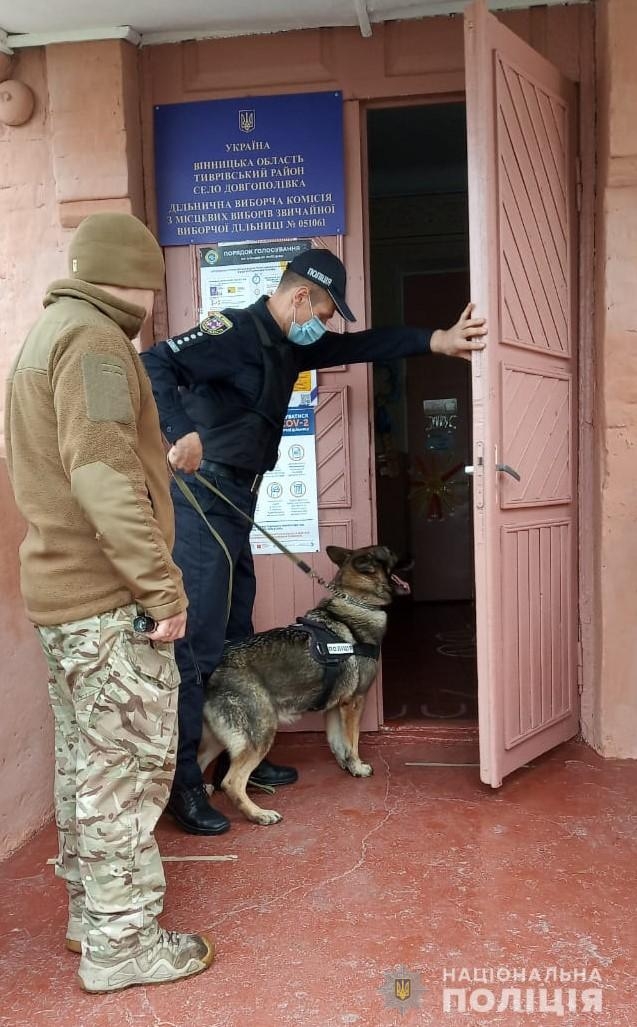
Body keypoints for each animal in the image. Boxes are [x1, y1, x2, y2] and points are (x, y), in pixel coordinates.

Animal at [196, 546, 410, 825]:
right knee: (231, 782)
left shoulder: (334, 707)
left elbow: (337, 742)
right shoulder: (354, 703)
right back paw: (258, 814)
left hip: (217, 739)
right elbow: (352, 741)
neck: (356, 602)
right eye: (391, 552)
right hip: (262, 732)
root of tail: (214, 671)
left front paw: (346, 766)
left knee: (198, 763)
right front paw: (358, 766)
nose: (408, 554)